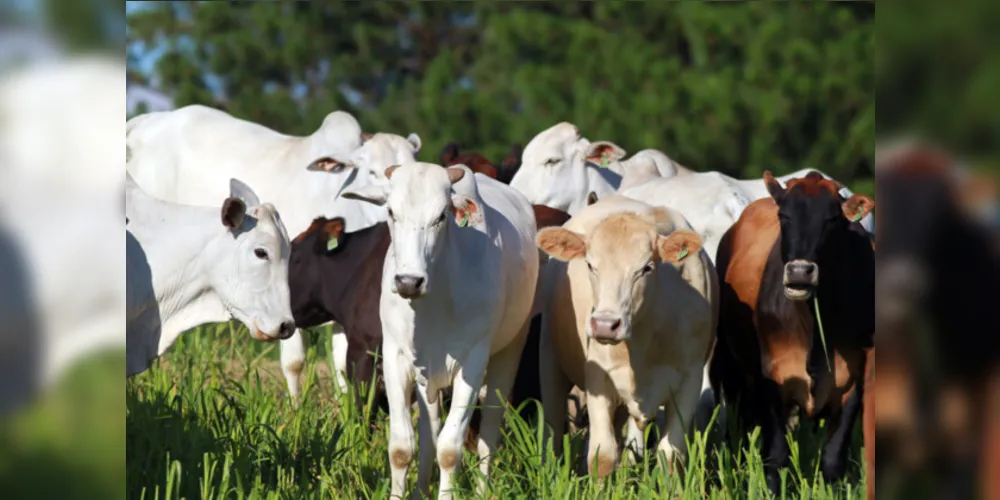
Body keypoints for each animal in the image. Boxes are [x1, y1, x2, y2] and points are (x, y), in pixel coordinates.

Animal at [344, 164, 544, 500]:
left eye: (441, 216)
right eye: (391, 212)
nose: (409, 281)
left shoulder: (472, 364)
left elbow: (450, 450)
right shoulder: (396, 357)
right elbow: (402, 447)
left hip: (510, 350)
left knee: (488, 433)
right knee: (429, 432)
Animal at [536, 194, 716, 476]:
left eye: (646, 268)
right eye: (590, 264)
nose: (604, 324)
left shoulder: (691, 379)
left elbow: (670, 455)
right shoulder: (598, 377)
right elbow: (602, 455)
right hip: (550, 360)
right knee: (553, 430)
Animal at [704, 170, 876, 494]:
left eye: (832, 219)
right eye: (784, 216)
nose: (799, 272)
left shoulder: (854, 383)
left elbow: (832, 459)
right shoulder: (774, 378)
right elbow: (776, 456)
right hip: (730, 367)